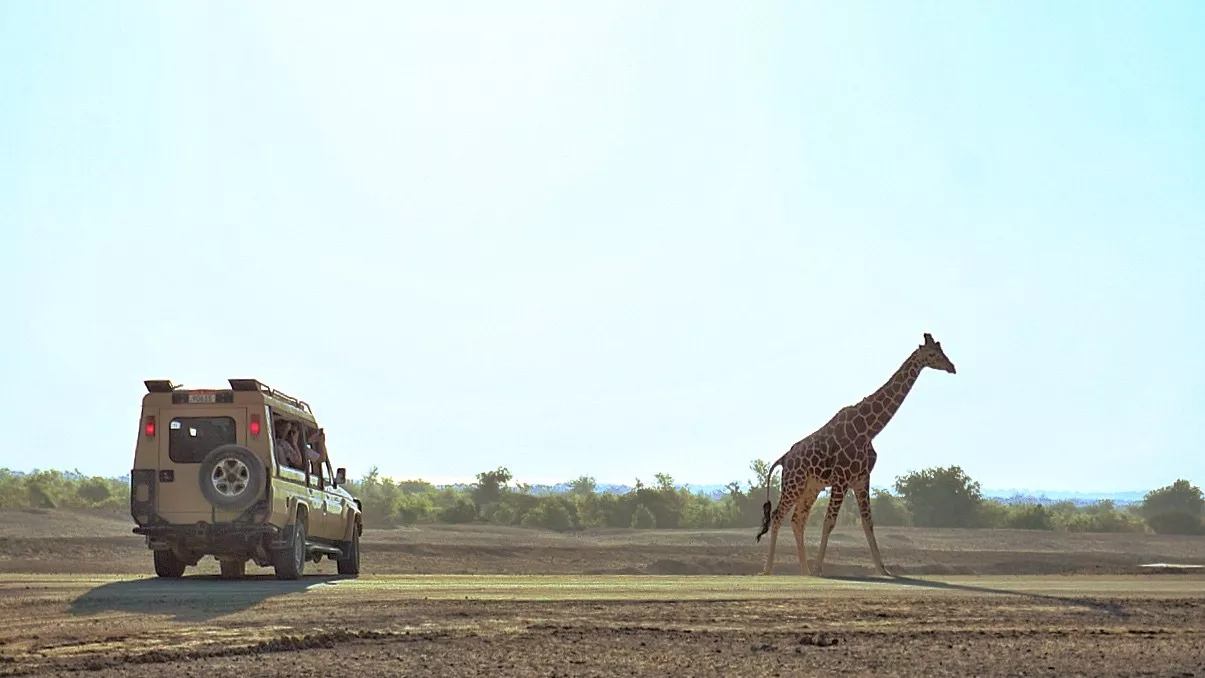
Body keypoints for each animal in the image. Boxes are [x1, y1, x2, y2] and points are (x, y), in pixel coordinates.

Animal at [754, 332, 956, 577]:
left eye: (941, 349)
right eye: (933, 354)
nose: (952, 367)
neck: (869, 429)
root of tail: (783, 458)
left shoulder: (861, 479)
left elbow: (868, 523)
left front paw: (883, 570)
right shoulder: (842, 479)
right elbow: (829, 522)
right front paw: (820, 568)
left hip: (810, 487)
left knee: (797, 520)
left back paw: (805, 570)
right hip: (795, 484)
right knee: (777, 516)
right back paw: (768, 570)